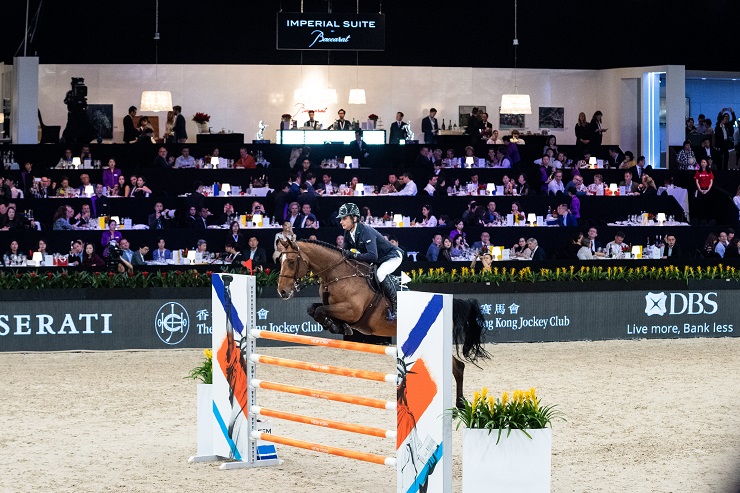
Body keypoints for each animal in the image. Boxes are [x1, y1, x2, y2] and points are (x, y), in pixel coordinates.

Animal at [274, 236, 488, 406]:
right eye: (280, 260)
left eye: (291, 261)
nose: (282, 291)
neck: (337, 274)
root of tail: (449, 303)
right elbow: (314, 309)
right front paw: (336, 325)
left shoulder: (352, 311)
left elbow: (320, 311)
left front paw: (337, 326)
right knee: (457, 367)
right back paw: (457, 403)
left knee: (456, 367)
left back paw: (459, 404)